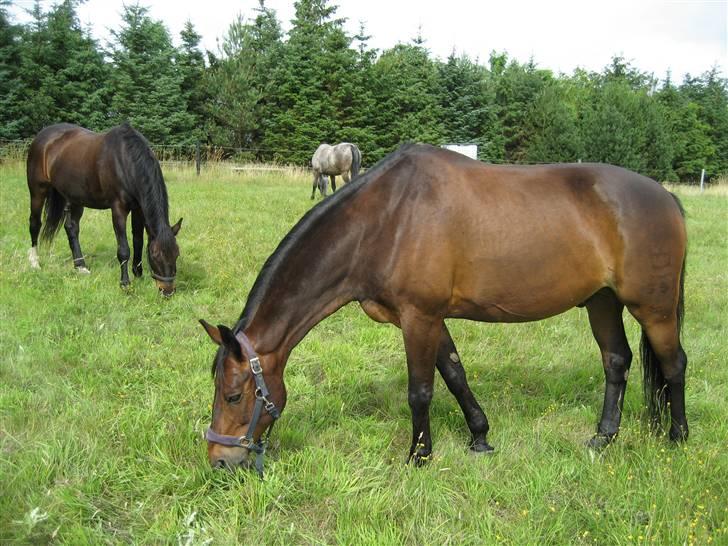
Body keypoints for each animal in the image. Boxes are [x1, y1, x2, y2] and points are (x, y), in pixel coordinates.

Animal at [28, 122, 182, 294]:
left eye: (176, 254)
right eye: (155, 255)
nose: (167, 290)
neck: (125, 161)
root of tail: (42, 136)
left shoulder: (138, 209)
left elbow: (138, 241)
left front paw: (138, 274)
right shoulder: (118, 209)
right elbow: (124, 249)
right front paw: (125, 283)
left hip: (75, 197)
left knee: (71, 228)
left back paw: (80, 266)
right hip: (37, 191)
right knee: (35, 224)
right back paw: (35, 262)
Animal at [200, 143, 688, 472]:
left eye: (234, 395)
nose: (219, 460)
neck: (386, 219)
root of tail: (666, 197)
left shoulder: (420, 316)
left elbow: (421, 390)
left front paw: (419, 456)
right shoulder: (426, 318)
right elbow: (455, 374)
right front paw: (480, 437)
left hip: (653, 308)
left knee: (674, 364)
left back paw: (677, 437)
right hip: (601, 302)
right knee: (616, 360)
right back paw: (603, 438)